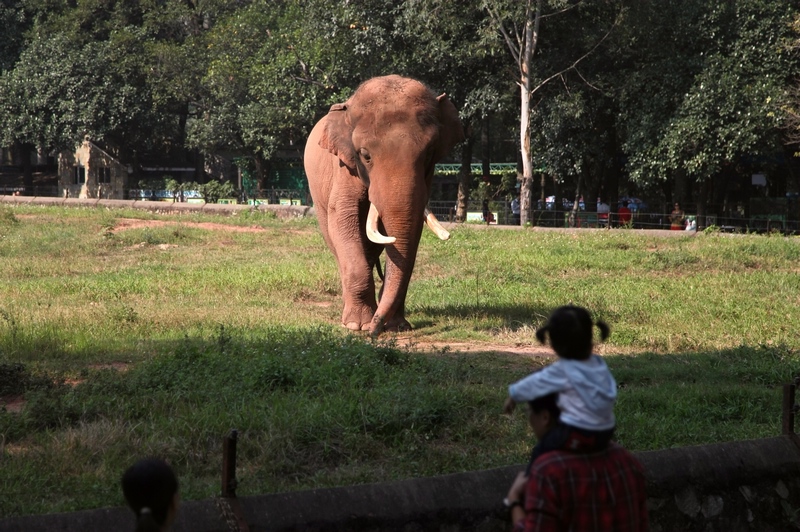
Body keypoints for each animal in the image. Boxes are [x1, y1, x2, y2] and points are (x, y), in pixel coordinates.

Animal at [304, 75, 464, 336]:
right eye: (365, 155)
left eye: (428, 153)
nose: (374, 331)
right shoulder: (344, 168)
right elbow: (343, 217)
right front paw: (357, 325)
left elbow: (412, 231)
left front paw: (397, 326)